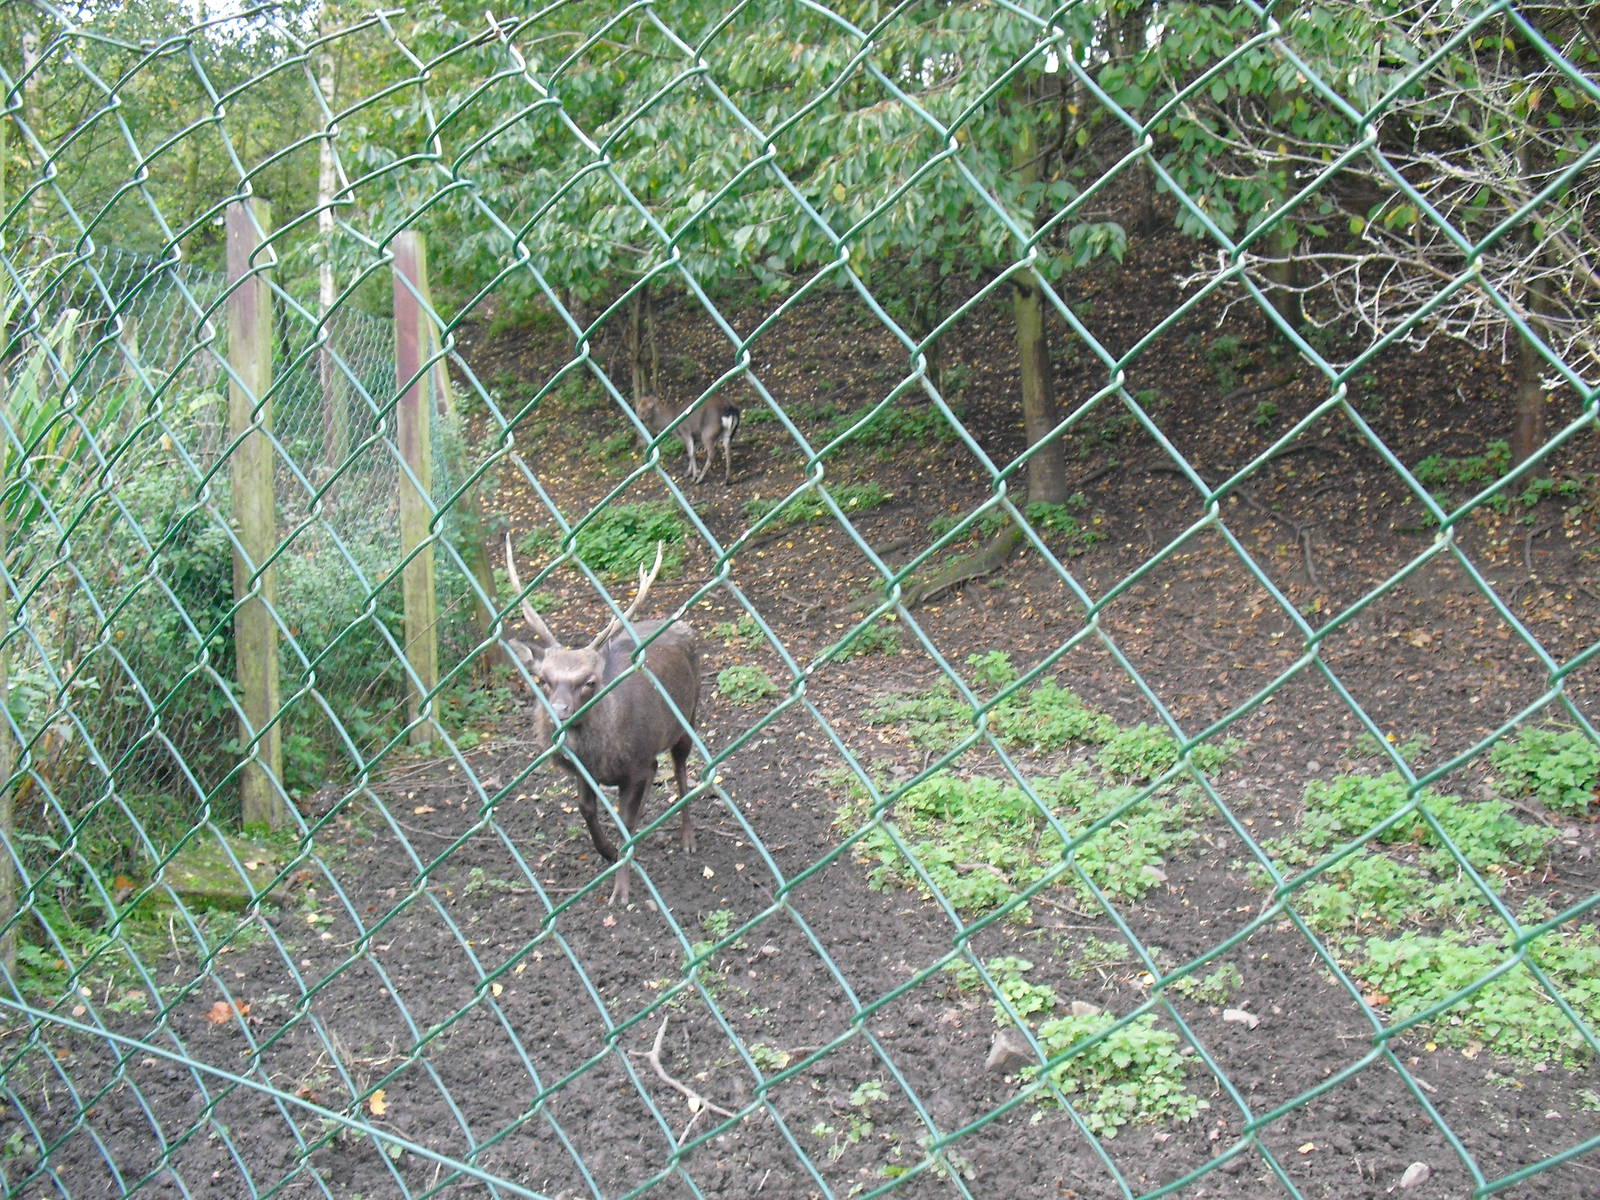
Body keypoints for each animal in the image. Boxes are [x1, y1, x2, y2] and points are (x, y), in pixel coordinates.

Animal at [503, 535, 701, 905]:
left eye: (589, 681)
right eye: (544, 680)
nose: (558, 713)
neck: (605, 753)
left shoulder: (637, 764)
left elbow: (625, 821)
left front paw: (621, 891)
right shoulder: (586, 771)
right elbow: (586, 809)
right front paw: (607, 851)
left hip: (689, 715)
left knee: (680, 769)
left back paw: (687, 839)